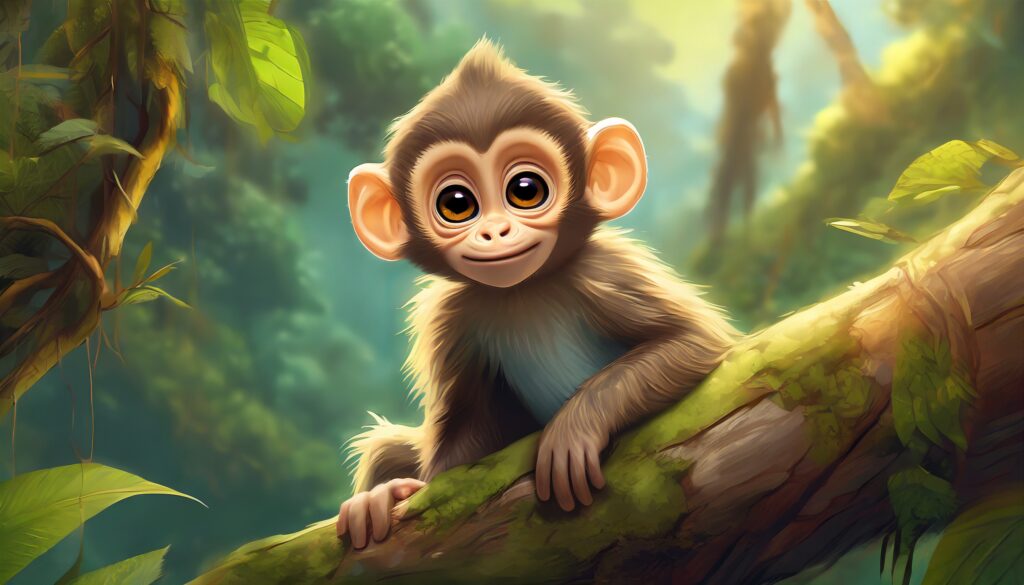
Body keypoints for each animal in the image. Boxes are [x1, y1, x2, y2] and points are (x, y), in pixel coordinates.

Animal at [337, 39, 738, 550]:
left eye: (525, 190)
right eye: (456, 203)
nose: (495, 231)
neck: (522, 292)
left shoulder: (604, 272)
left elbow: (692, 341)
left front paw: (571, 429)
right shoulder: (452, 319)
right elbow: (460, 451)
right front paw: (387, 494)